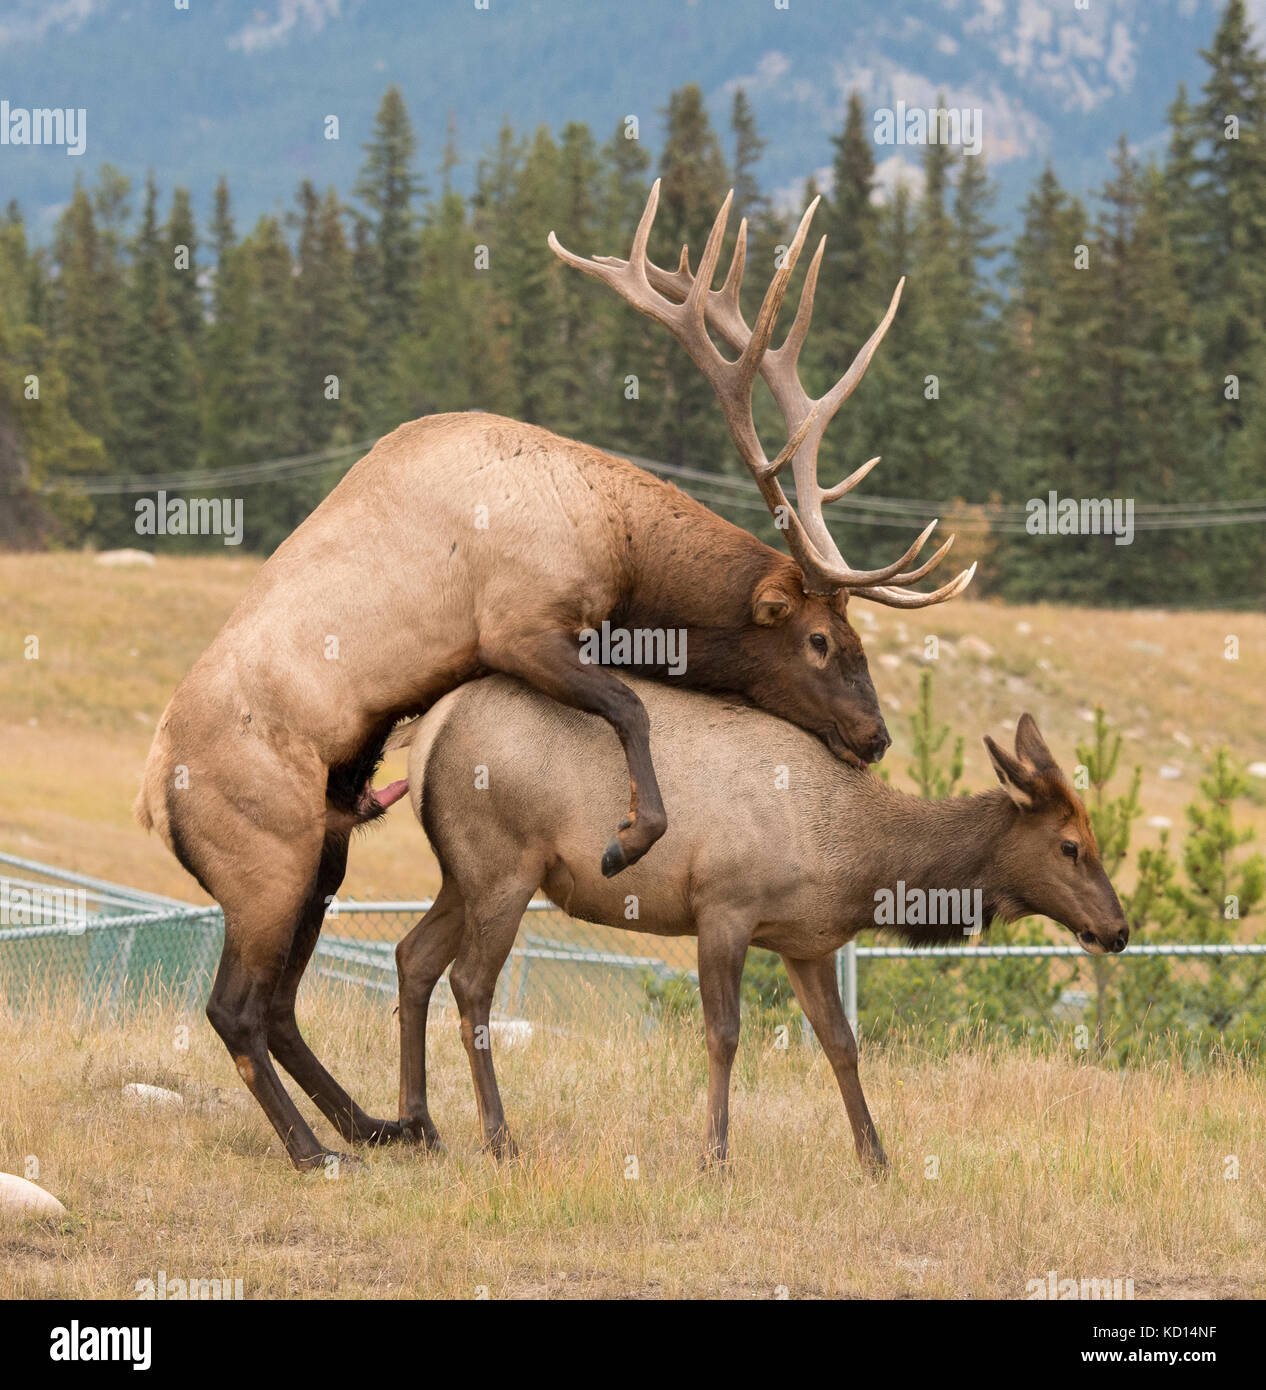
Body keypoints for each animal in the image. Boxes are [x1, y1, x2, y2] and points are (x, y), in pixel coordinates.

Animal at [138, 179, 972, 1167]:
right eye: (819, 641)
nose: (874, 736)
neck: (621, 547)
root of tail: (153, 799)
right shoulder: (521, 625)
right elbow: (630, 711)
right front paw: (628, 836)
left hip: (325, 855)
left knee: (281, 1005)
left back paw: (381, 1123)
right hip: (267, 860)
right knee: (235, 1007)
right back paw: (317, 1150)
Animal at [394, 672, 1128, 1173]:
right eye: (1070, 845)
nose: (1118, 930)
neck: (854, 860)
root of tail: (426, 733)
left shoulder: (808, 943)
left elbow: (841, 1043)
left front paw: (876, 1157)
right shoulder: (724, 907)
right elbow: (723, 1034)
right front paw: (714, 1156)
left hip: (463, 876)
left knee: (413, 957)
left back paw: (418, 1126)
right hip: (505, 866)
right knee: (470, 983)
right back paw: (499, 1139)